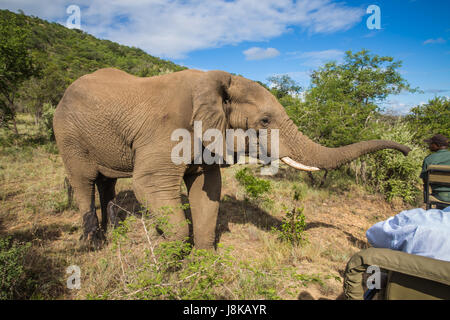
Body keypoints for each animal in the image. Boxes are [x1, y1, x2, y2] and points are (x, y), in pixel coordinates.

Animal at [53, 67, 412, 248]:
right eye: (265, 121)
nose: (408, 151)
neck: (217, 82)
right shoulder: (166, 130)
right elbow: (150, 186)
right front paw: (169, 259)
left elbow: (207, 191)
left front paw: (203, 261)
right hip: (68, 135)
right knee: (84, 182)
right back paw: (93, 243)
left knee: (107, 184)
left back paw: (114, 231)